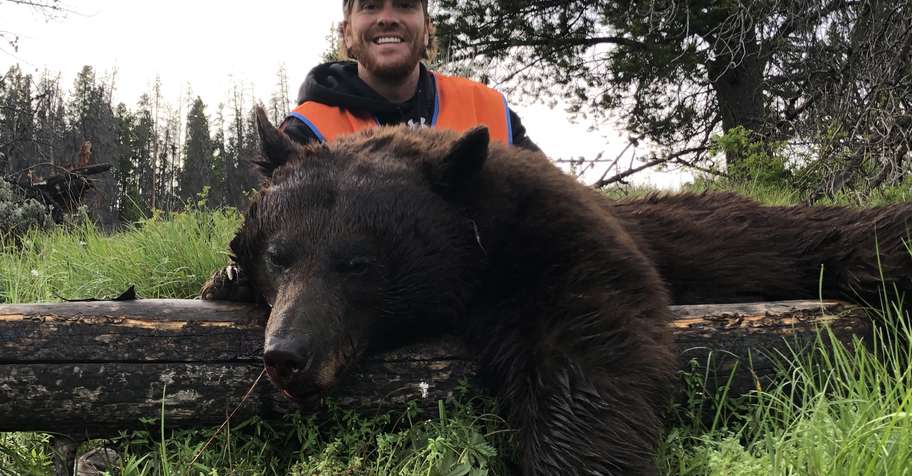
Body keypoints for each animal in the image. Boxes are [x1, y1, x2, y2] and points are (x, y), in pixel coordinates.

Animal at [203, 107, 912, 475]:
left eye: (357, 263)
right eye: (278, 256)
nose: (287, 356)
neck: (481, 240)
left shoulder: (560, 244)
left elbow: (587, 364)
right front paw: (225, 280)